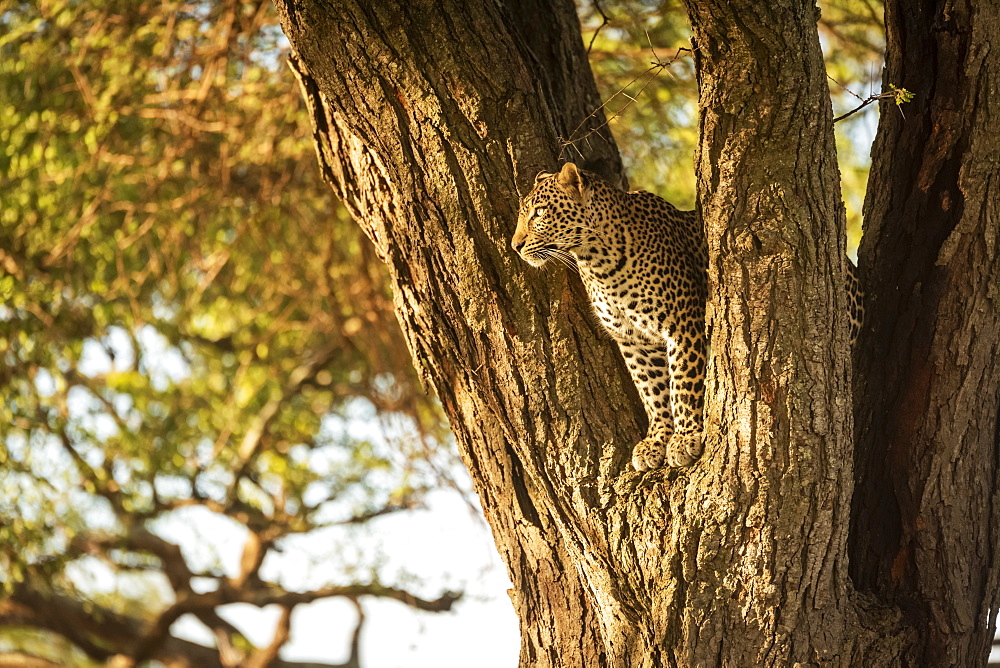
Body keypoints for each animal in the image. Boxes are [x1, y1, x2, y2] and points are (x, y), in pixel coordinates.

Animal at [512, 163, 864, 470]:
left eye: (539, 212)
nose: (515, 246)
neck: (597, 260)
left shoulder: (683, 325)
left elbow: (682, 384)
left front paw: (685, 439)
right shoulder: (634, 340)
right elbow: (652, 391)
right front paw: (656, 441)